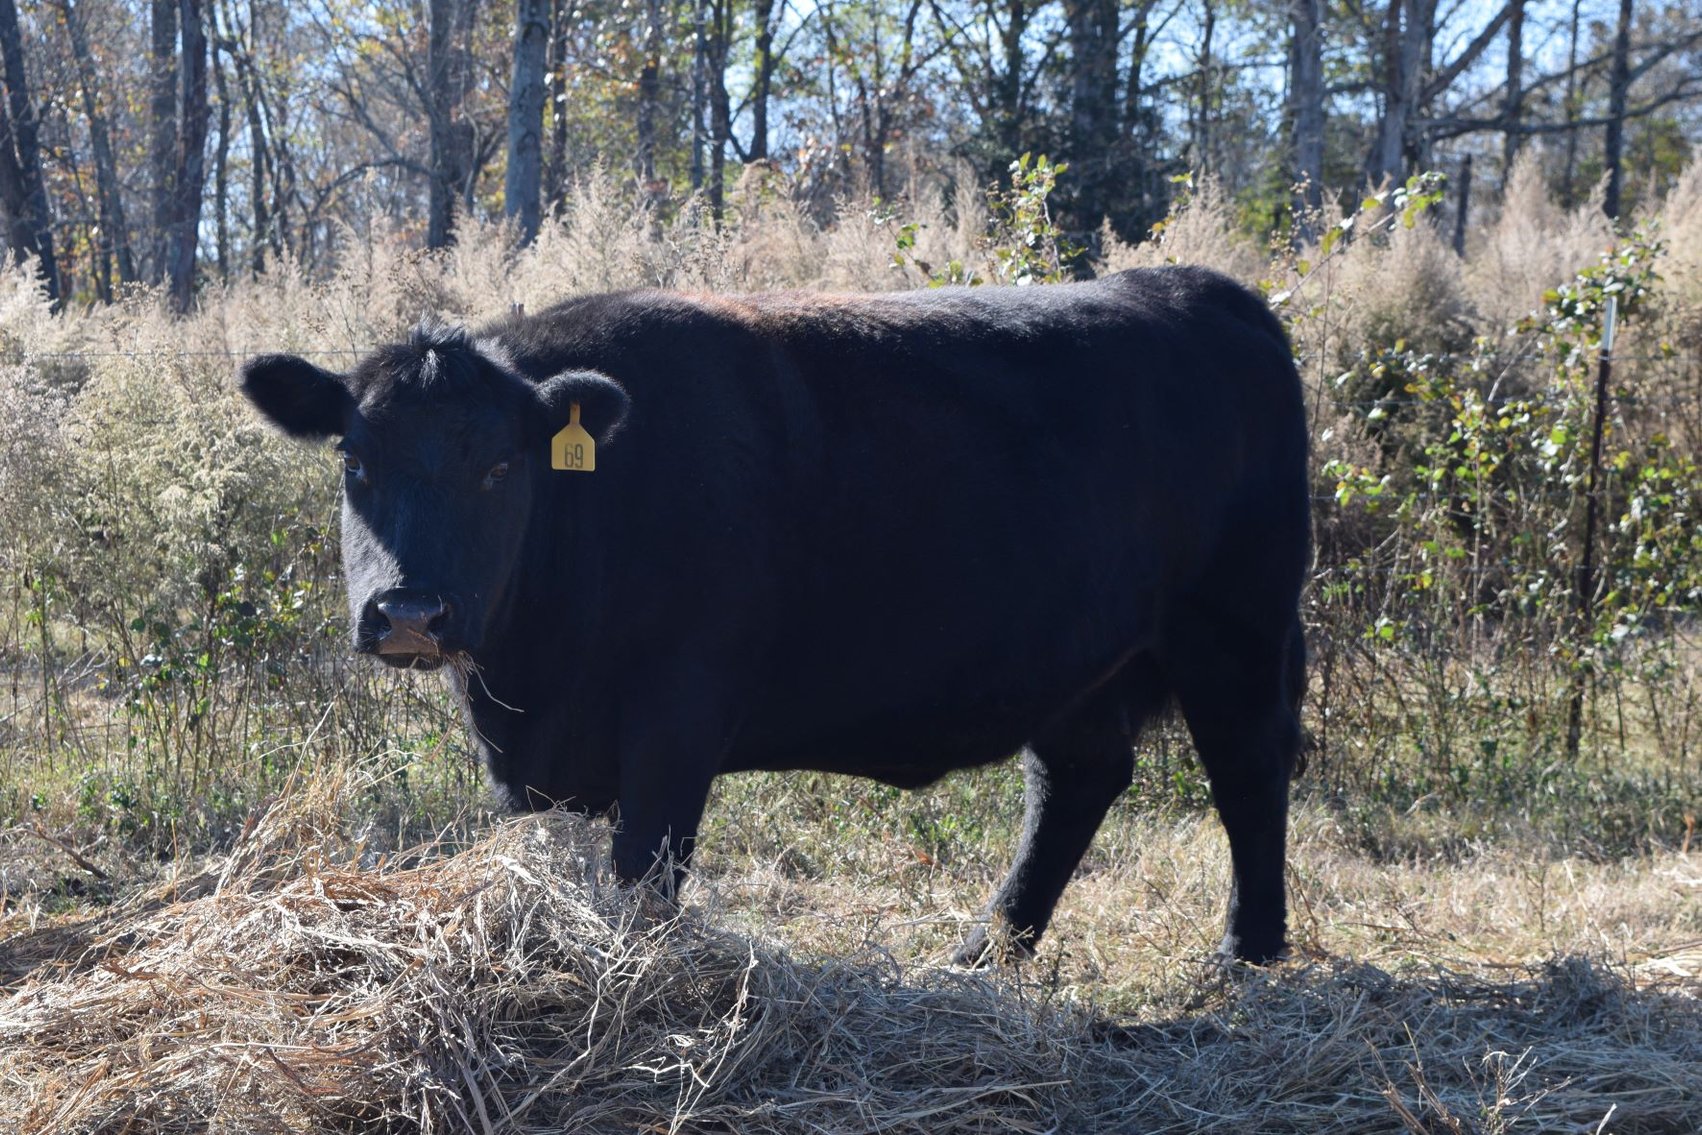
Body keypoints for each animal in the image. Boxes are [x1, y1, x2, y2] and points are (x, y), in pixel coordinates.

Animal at [240, 266, 1309, 966]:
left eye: (502, 467)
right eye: (356, 460)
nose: (410, 610)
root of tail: (1204, 289)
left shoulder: (678, 715)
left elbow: (645, 871)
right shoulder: (542, 756)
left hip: (1237, 621)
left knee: (1250, 771)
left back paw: (1245, 951)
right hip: (1081, 655)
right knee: (1078, 779)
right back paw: (985, 951)